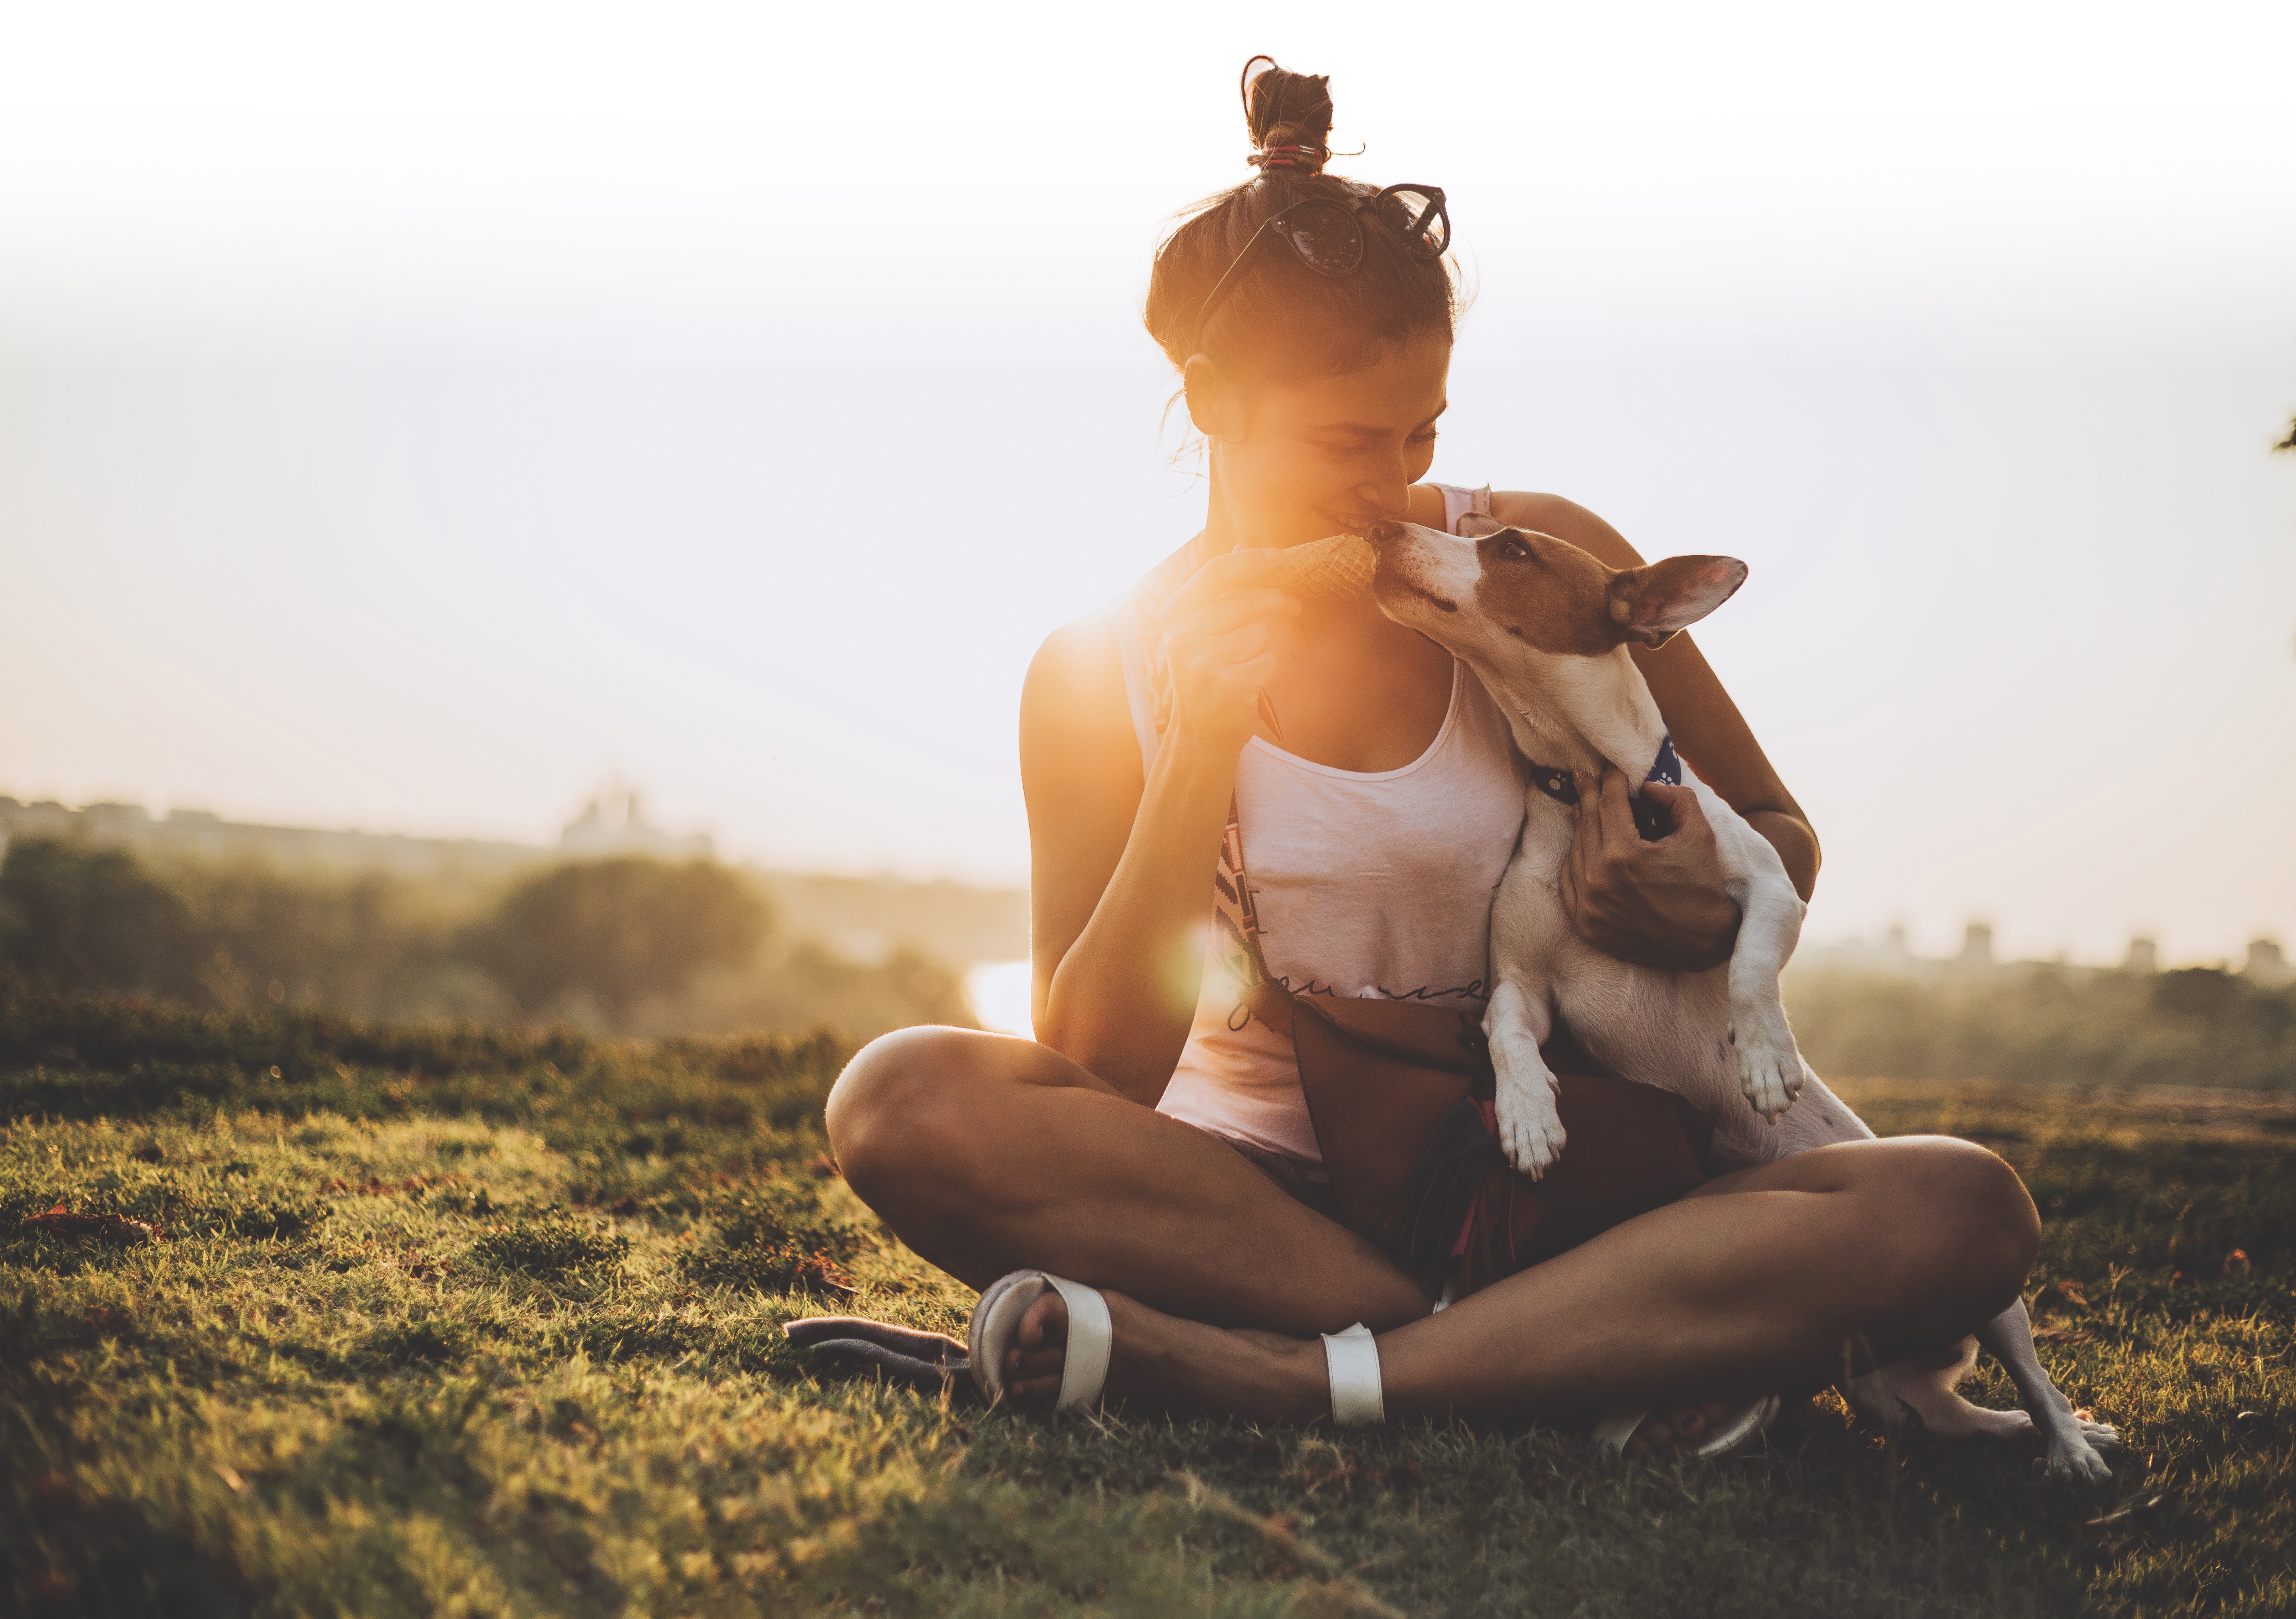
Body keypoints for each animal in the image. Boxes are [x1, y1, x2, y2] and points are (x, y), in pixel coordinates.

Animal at [1359, 519, 2112, 1479]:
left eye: (1514, 548)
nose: (1383, 527)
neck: (1586, 785)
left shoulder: (1768, 892)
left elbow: (1752, 969)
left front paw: (1763, 1063)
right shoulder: (1522, 985)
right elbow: (1507, 1036)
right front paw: (1529, 1117)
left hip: (2003, 1304)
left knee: (2035, 1375)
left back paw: (2071, 1446)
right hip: (1885, 1389)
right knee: (1955, 1419)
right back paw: (2008, 1429)